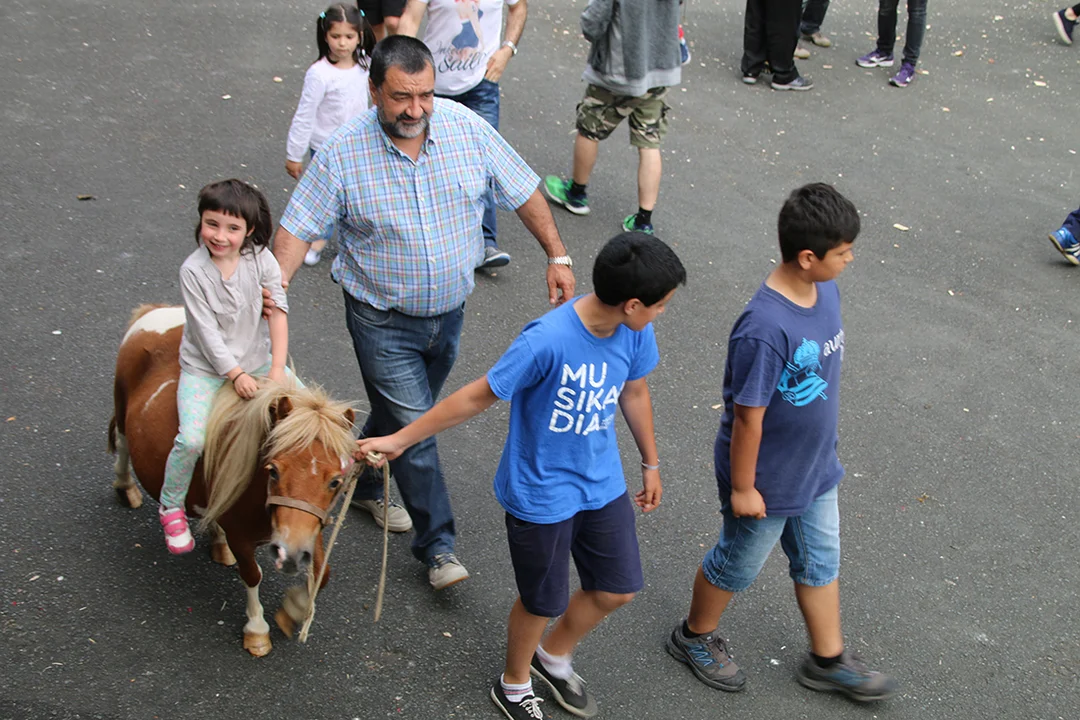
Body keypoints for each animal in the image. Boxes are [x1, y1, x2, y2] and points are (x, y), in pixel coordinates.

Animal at [108, 304, 358, 655]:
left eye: (335, 481)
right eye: (273, 470)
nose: (291, 555)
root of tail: (157, 310)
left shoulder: (309, 530)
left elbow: (323, 574)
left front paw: (292, 610)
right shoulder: (245, 534)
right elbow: (252, 575)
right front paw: (257, 630)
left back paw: (217, 540)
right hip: (121, 401)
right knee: (122, 443)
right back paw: (126, 488)